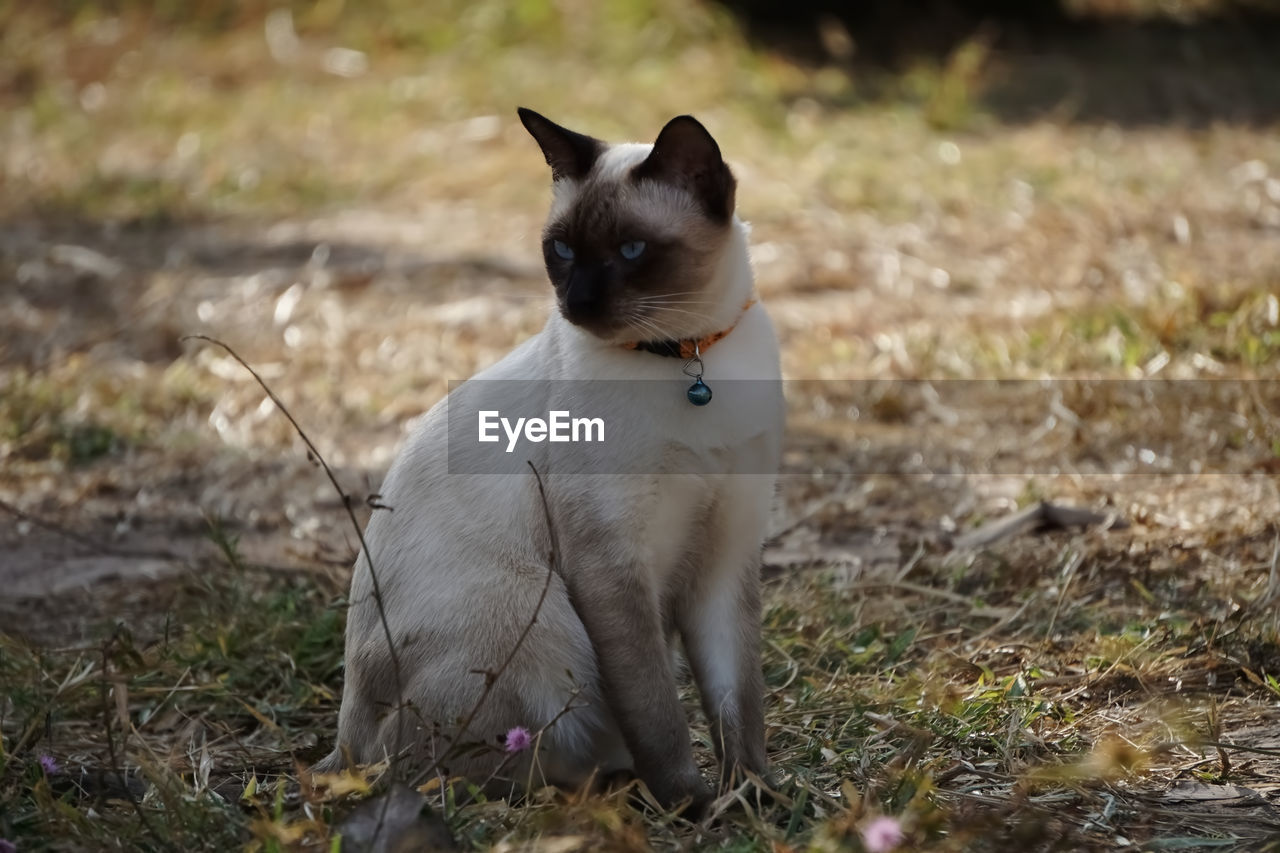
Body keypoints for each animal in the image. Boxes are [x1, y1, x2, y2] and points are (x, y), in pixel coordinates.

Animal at [314, 108, 783, 809]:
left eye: (632, 251)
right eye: (561, 250)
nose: (577, 303)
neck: (689, 358)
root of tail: (339, 747)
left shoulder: (725, 559)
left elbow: (738, 705)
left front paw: (756, 799)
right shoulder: (612, 563)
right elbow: (657, 709)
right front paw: (692, 804)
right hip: (539, 623)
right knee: (430, 771)